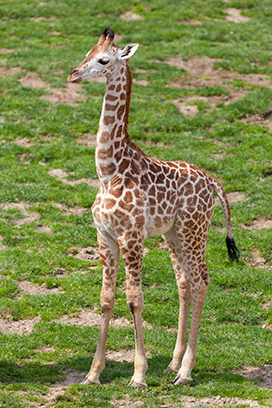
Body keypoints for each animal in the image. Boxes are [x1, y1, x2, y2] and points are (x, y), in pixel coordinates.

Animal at [67, 27, 238, 388]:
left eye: (103, 60)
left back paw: (185, 371)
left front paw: (139, 374)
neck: (109, 171)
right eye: (87, 53)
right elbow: (106, 300)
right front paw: (93, 374)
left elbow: (134, 299)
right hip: (173, 235)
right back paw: (173, 363)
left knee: (202, 281)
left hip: (193, 232)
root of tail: (213, 183)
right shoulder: (105, 237)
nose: (73, 75)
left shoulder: (131, 237)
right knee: (184, 283)